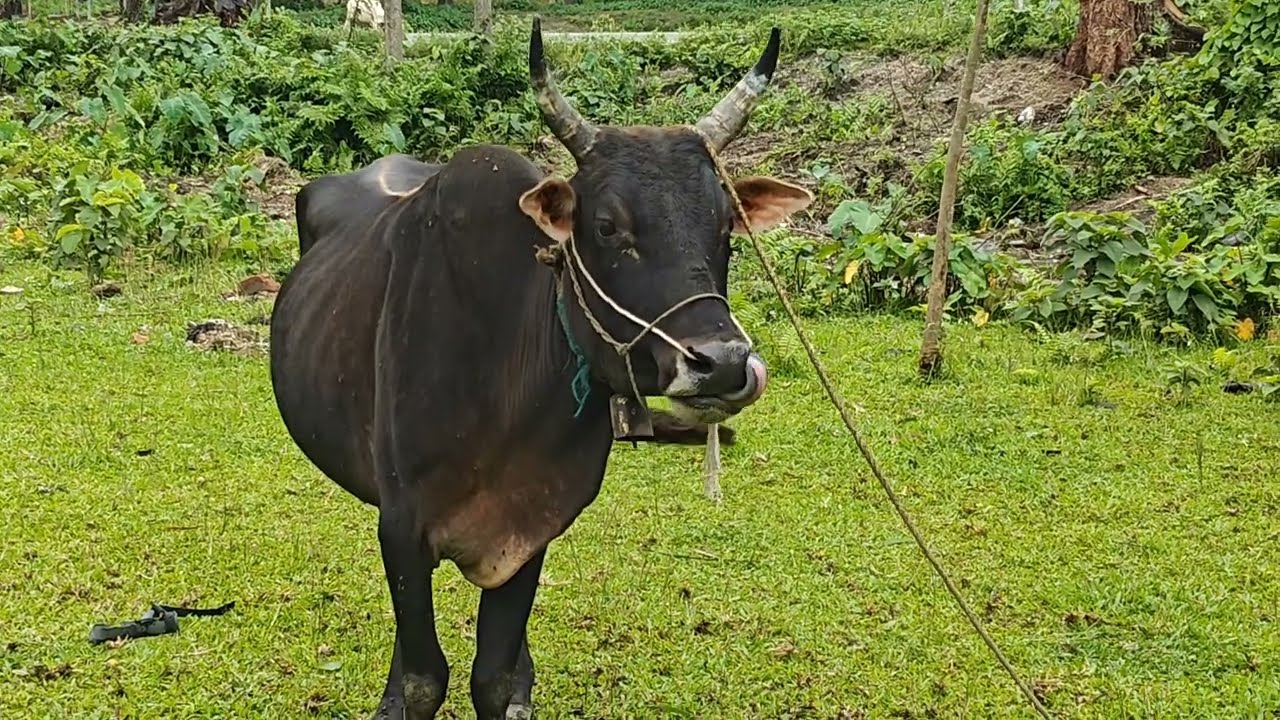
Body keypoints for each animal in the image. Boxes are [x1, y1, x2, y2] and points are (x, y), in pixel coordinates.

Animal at [268, 18, 812, 720]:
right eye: (606, 226)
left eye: (727, 225)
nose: (721, 364)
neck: (503, 387)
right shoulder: (401, 528)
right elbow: (421, 679)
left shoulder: (531, 526)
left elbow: (495, 678)